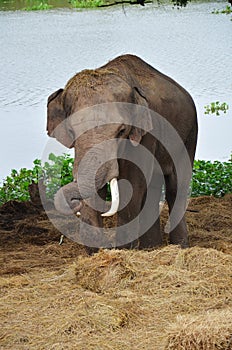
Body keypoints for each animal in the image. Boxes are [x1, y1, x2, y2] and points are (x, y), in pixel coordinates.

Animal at [46, 54, 198, 249]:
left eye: (121, 130)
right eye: (71, 132)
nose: (74, 203)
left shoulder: (146, 134)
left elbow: (132, 185)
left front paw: (124, 251)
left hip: (188, 135)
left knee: (176, 185)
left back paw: (179, 246)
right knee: (153, 186)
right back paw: (151, 247)